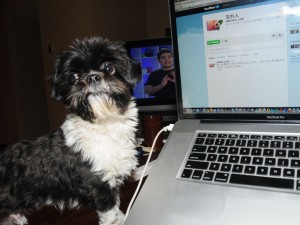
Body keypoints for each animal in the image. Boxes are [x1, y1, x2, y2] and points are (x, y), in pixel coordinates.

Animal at [0, 36, 142, 224]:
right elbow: (112, 216)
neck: (103, 123)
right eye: (73, 77)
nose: (92, 77)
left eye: (108, 67)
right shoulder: (98, 188)